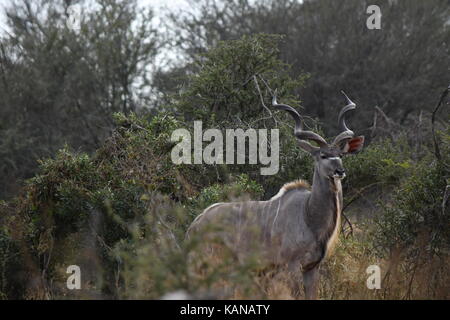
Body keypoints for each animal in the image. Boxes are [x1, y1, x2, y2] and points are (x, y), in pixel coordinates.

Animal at [186, 90, 366, 300]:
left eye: (341, 155)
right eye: (323, 155)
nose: (340, 171)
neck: (308, 214)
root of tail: (195, 224)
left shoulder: (312, 268)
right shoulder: (292, 266)